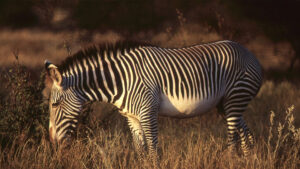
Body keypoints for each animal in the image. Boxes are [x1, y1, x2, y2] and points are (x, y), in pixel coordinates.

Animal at [44, 40, 262, 159]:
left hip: (236, 96)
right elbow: (141, 151)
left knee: (233, 138)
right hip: (225, 104)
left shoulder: (148, 112)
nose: (52, 142)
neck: (121, 81)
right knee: (247, 135)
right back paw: (249, 160)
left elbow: (153, 150)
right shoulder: (131, 117)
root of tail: (250, 54)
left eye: (55, 104)